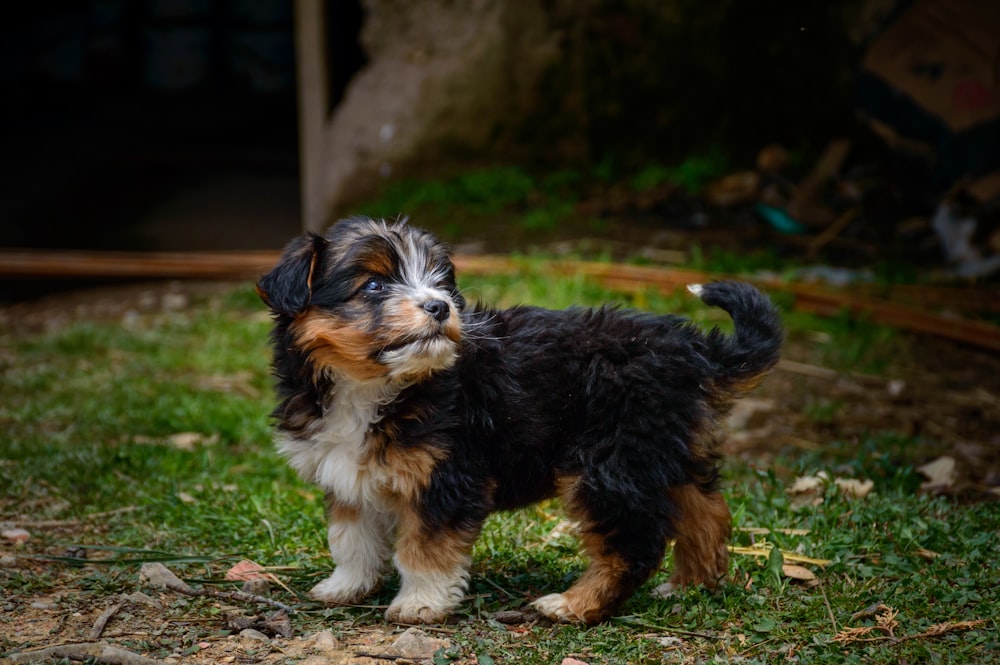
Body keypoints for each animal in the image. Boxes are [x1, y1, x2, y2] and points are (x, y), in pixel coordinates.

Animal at [256, 217, 780, 624]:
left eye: (440, 283)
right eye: (374, 286)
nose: (440, 306)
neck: (374, 386)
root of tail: (693, 350)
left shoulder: (446, 477)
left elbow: (425, 548)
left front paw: (421, 604)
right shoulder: (348, 474)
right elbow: (352, 539)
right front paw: (345, 586)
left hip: (606, 464)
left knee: (634, 541)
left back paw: (576, 605)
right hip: (661, 449)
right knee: (706, 511)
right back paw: (692, 584)